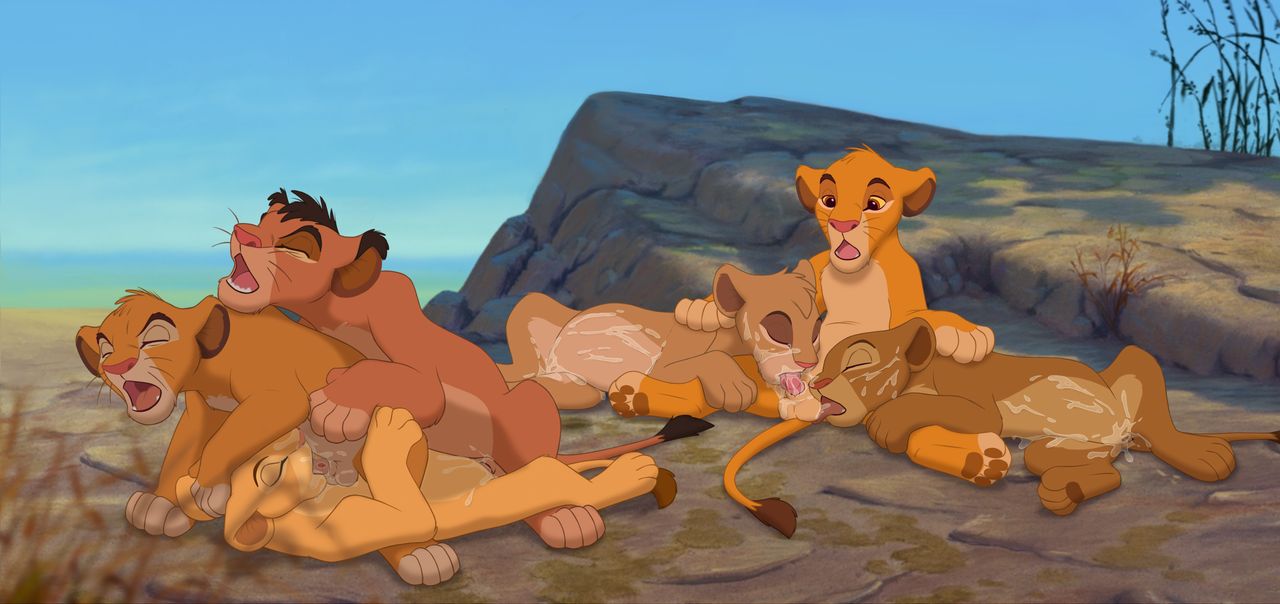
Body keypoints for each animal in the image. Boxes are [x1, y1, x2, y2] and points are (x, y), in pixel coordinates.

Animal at [76, 291, 693, 582]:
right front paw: (163, 502)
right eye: (105, 344)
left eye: (155, 336)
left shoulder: (276, 397)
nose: (120, 364)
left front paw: (205, 488)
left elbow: (238, 438)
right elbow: (185, 446)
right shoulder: (205, 411)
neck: (209, 363)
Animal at [726, 319, 1280, 534]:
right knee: (1103, 471)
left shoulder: (976, 402)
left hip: (1135, 363)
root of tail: (1124, 433)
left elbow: (939, 411)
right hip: (1059, 447)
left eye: (858, 361)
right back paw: (1064, 491)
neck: (921, 372)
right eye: (822, 362)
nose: (816, 384)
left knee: (1161, 428)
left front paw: (888, 422)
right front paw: (979, 459)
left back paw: (1209, 456)